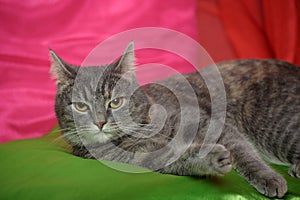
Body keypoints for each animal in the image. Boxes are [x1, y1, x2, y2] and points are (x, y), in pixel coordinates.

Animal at [50, 41, 298, 198]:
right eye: (81, 106)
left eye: (115, 102)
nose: (100, 122)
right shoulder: (143, 159)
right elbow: (179, 158)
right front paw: (211, 158)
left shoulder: (210, 123)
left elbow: (243, 151)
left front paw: (267, 177)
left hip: (277, 127)